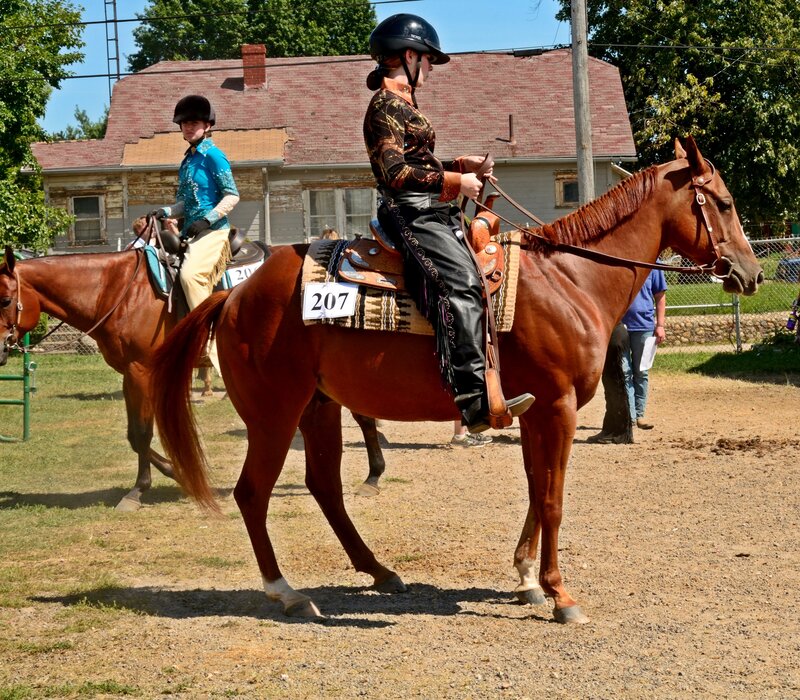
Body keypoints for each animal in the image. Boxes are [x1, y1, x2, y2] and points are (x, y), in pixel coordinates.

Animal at [150, 137, 763, 623]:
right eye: (724, 203)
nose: (752, 273)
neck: (571, 278)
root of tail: (234, 296)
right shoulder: (558, 407)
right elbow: (554, 498)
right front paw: (560, 594)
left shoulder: (534, 412)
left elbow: (536, 490)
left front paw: (526, 578)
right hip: (274, 415)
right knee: (253, 493)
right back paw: (288, 593)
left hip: (318, 406)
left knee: (325, 488)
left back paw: (380, 572)